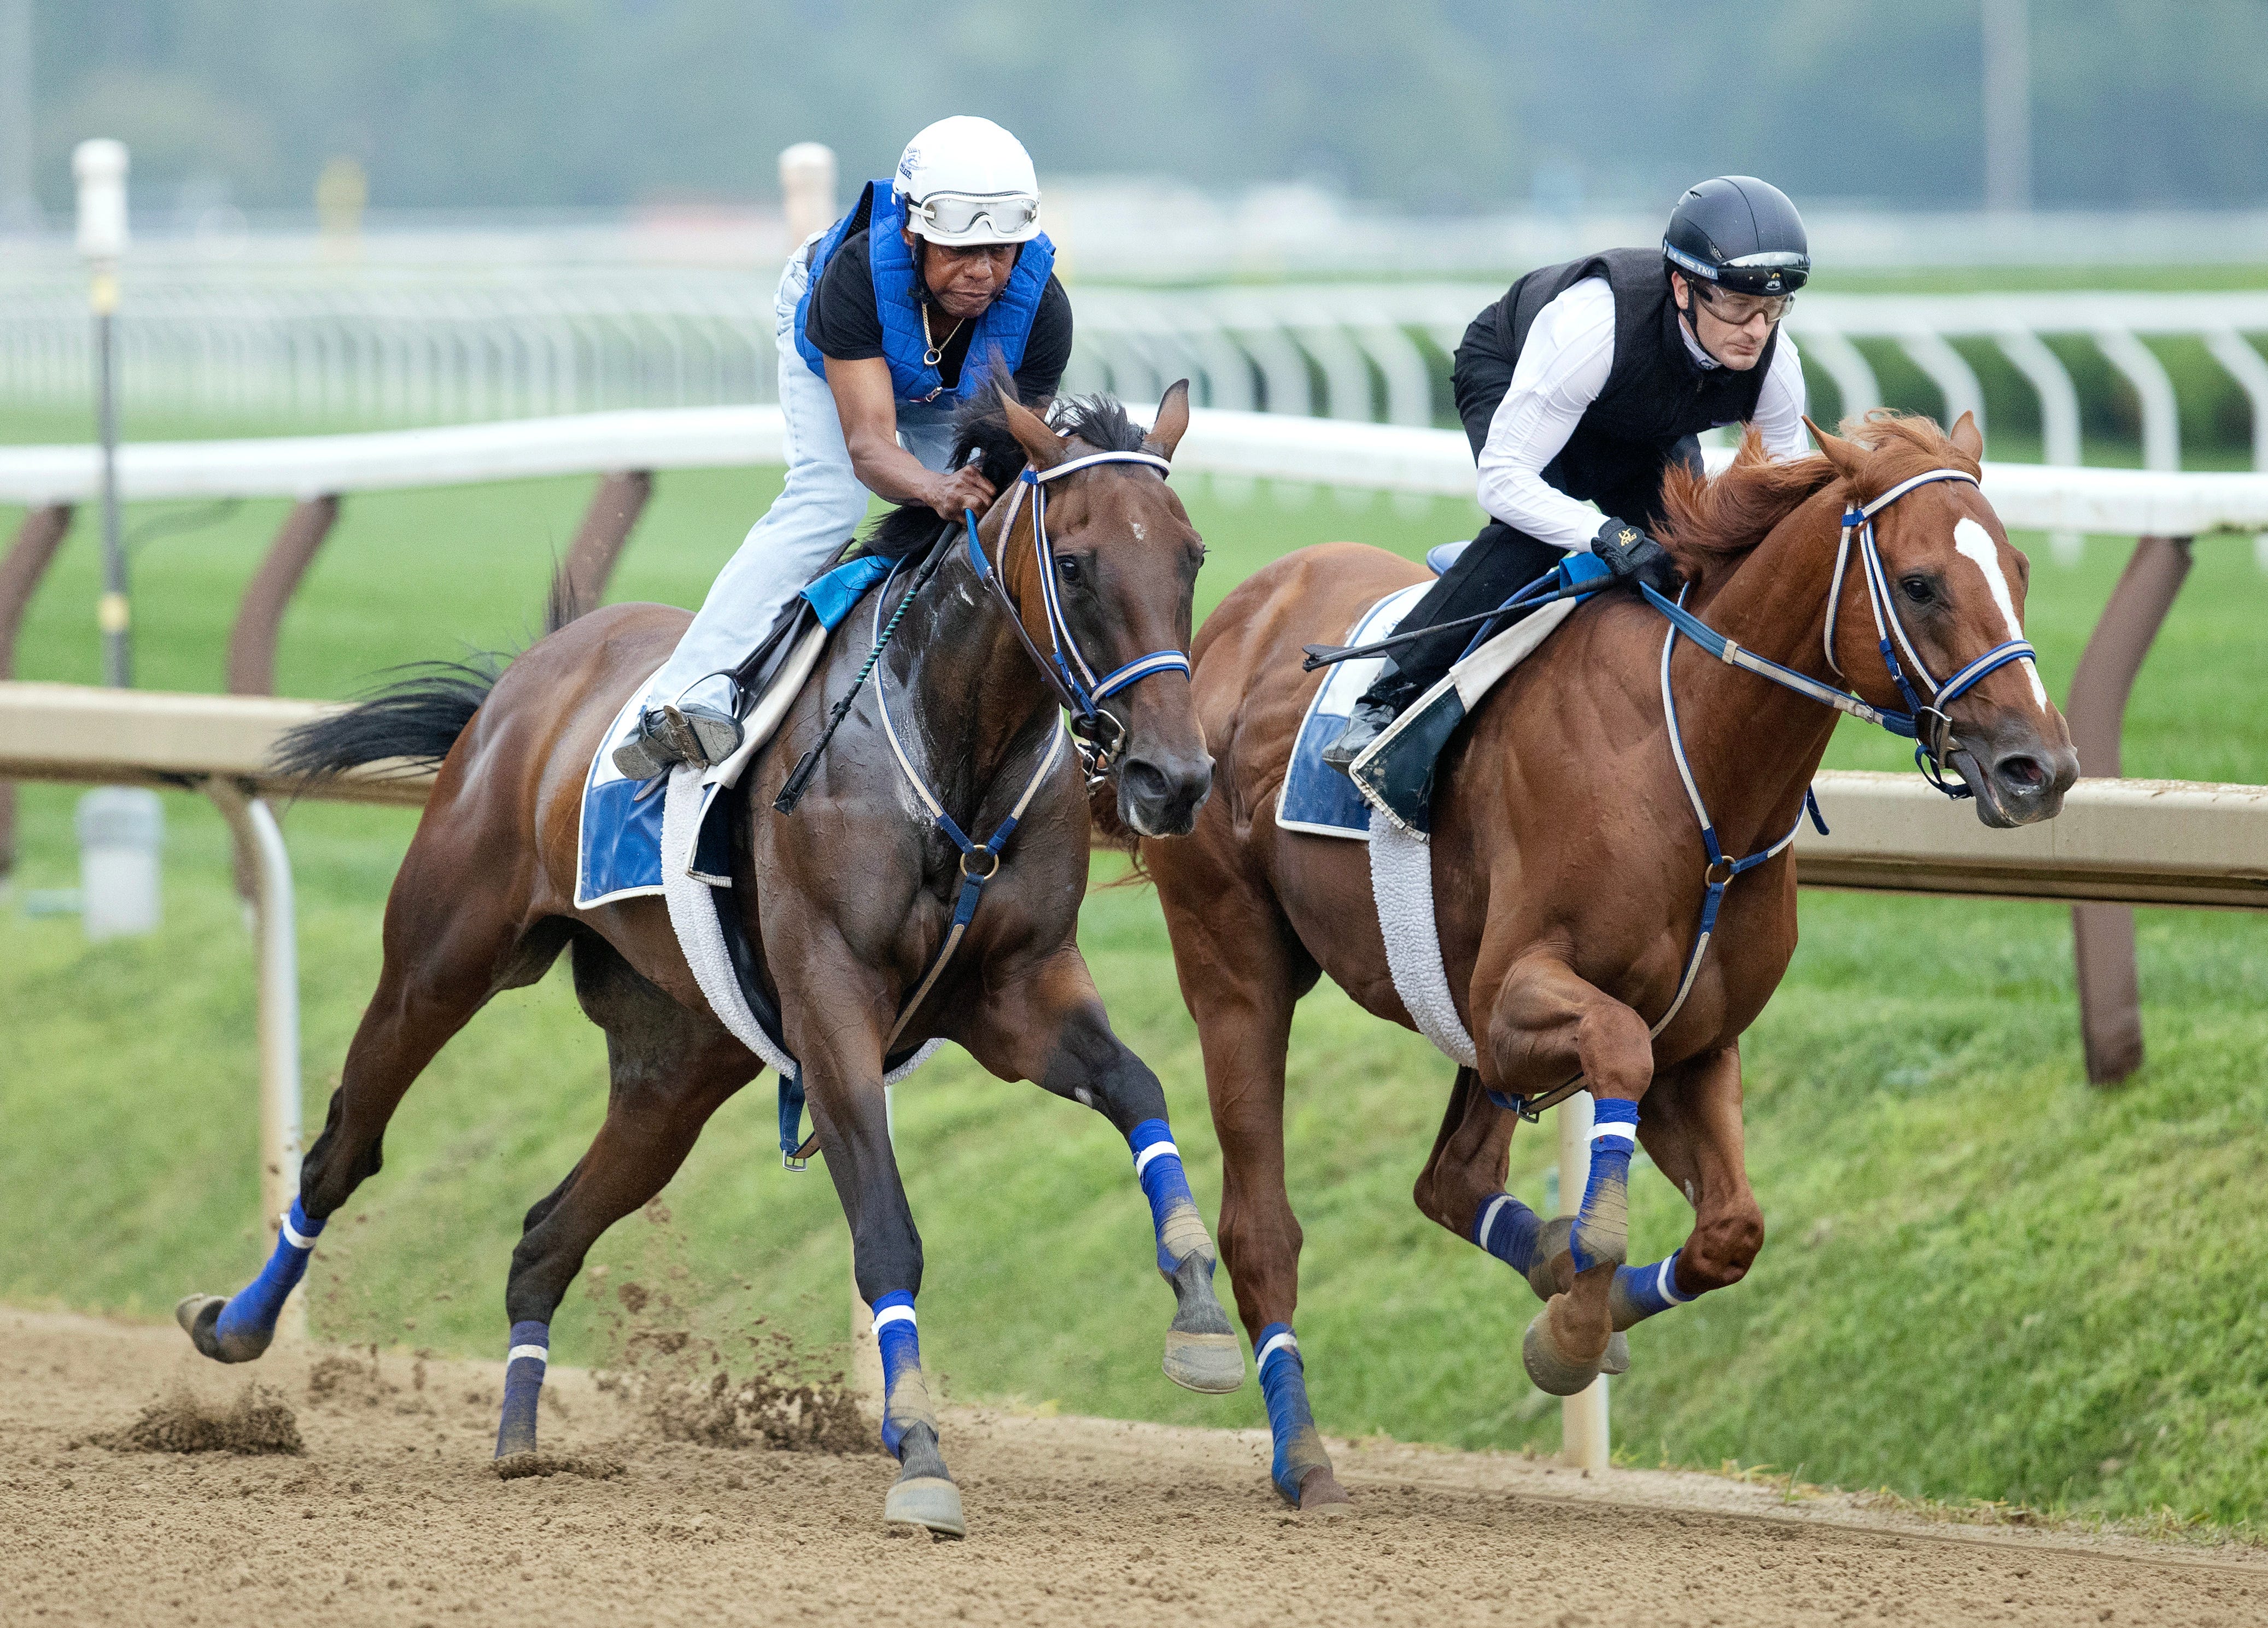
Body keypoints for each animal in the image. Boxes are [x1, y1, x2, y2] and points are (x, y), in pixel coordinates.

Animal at [174, 385, 1243, 1542]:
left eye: (1190, 555)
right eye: (1079, 564)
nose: (1173, 776)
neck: (949, 748)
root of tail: (533, 673)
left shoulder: (1018, 990)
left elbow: (1138, 1087)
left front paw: (1199, 1309)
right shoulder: (832, 1005)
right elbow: (886, 1232)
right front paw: (917, 1450)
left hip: (676, 1067)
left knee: (544, 1235)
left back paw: (518, 1440)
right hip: (440, 961)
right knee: (344, 1149)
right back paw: (233, 1324)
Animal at [1143, 410, 2077, 1514]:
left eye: (2018, 568)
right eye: (1924, 582)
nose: (2040, 768)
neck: (1691, 762)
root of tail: (1234, 617)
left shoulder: (1695, 1042)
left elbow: (1731, 1231)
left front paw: (1574, 1318)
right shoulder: (1515, 1000)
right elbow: (1616, 1065)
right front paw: (1577, 1309)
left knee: (1449, 1180)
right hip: (1235, 962)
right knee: (1262, 1225)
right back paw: (1301, 1451)